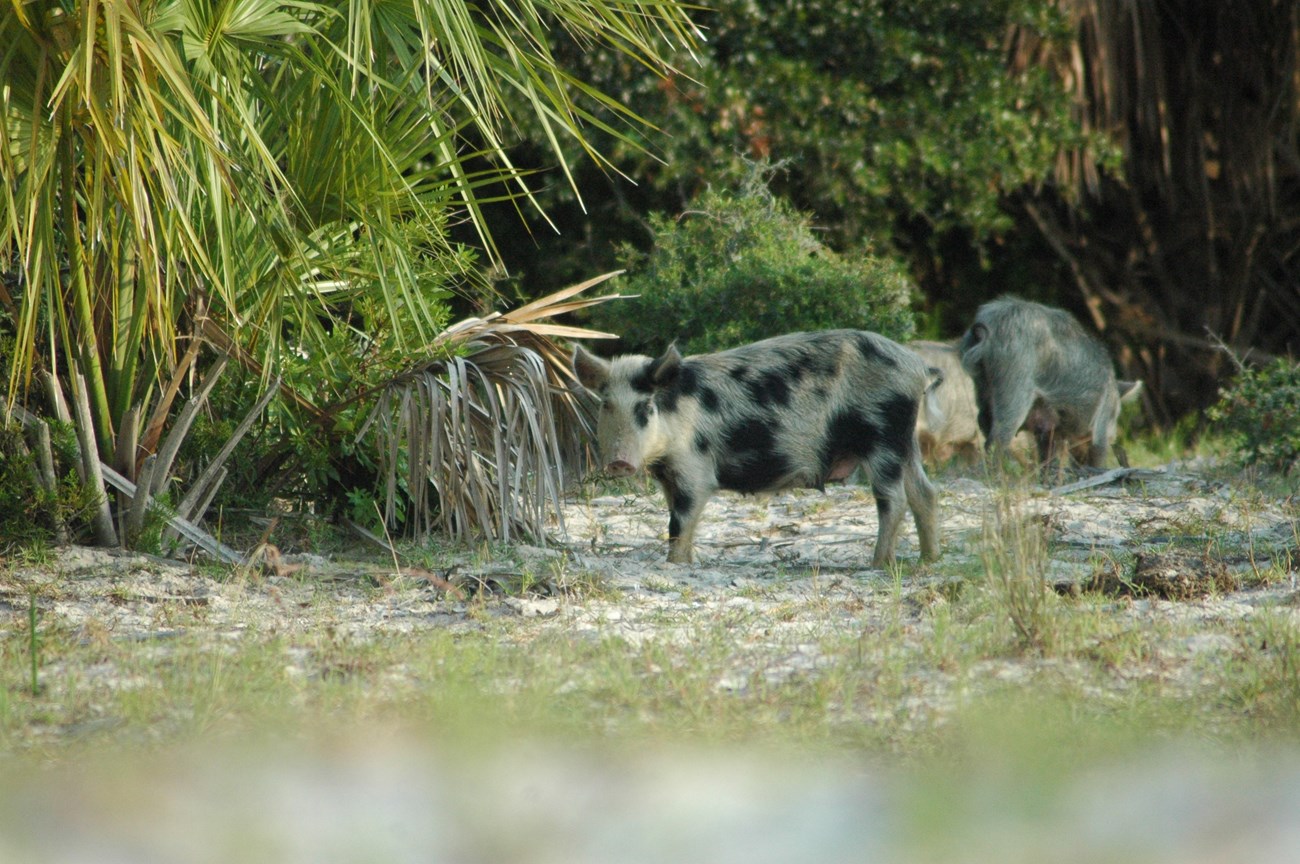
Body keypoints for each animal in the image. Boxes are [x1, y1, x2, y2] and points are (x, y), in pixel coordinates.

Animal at [572, 330, 940, 567]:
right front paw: (685, 562)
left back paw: (877, 565)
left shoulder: (695, 469)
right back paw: (927, 561)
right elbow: (678, 521)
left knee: (894, 500)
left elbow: (679, 523)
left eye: (645, 408)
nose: (619, 462)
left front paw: (674, 565)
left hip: (883, 436)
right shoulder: (668, 476)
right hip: (905, 441)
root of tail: (917, 366)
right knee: (925, 492)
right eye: (606, 405)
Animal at [957, 297, 1143, 471]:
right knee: (999, 435)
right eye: (1114, 417)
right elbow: (1097, 448)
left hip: (982, 386)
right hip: (1015, 380)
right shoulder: (1101, 424)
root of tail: (988, 329)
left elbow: (1048, 455)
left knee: (984, 423)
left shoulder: (1050, 429)